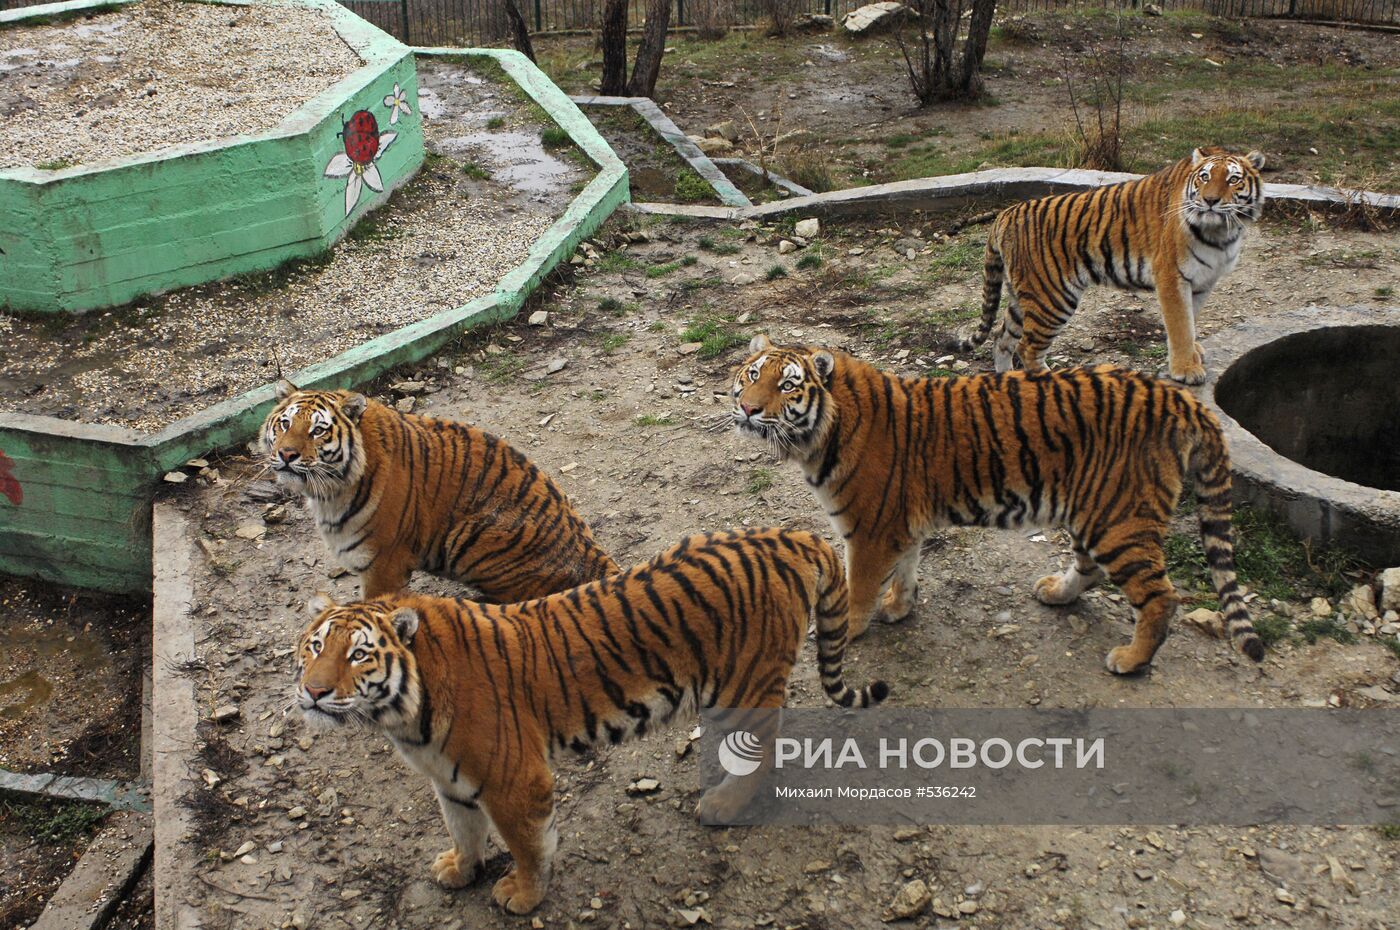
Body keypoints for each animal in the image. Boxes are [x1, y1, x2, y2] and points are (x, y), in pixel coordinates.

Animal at [261, 380, 618, 599]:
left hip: (470, 533)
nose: (287, 454)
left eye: (318, 430)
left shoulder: (384, 563)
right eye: (285, 423)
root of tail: (593, 552)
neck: (330, 489)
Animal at [294, 529, 884, 913]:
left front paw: (522, 895)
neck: (403, 715)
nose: (313, 691)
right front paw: (460, 870)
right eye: (316, 647)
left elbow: (529, 844)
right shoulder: (450, 780)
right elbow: (464, 829)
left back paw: (722, 804)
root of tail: (790, 536)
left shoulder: (514, 780)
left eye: (359, 656)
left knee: (764, 747)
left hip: (742, 686)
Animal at [733, 336, 1271, 675]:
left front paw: (848, 630)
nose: (747, 408)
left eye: (787, 385)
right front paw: (900, 608)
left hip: (1120, 518)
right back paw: (1056, 593)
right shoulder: (900, 525)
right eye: (753, 375)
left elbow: (859, 588)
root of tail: (1182, 400)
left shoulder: (869, 531)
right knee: (1091, 569)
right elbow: (906, 570)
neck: (818, 435)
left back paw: (1131, 661)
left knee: (1161, 596)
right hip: (1092, 509)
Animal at [957, 143, 1265, 383]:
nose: (1210, 200)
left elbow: (1192, 319)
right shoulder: (1171, 277)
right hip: (1053, 298)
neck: (1223, 231)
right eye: (1204, 177)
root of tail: (1005, 214)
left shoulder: (1202, 281)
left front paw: (1193, 354)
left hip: (1023, 297)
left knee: (1002, 339)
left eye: (1233, 179)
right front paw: (1185, 369)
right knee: (1027, 349)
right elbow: (1180, 325)